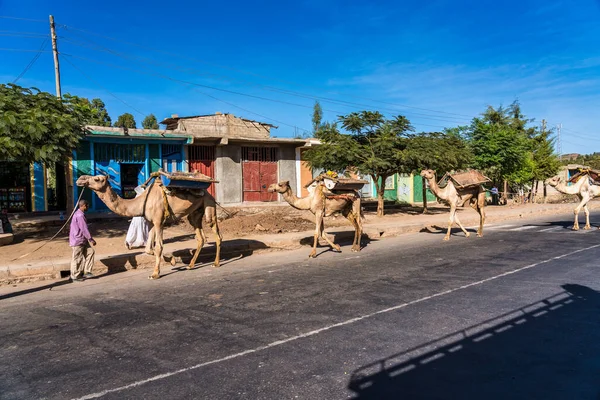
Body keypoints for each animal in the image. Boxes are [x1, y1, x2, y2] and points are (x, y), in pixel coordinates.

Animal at [76, 173, 221, 280]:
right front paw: (172, 260)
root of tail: (209, 193)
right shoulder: (151, 222)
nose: (80, 179)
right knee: (200, 236)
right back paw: (190, 265)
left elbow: (159, 247)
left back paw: (216, 263)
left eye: (97, 178)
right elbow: (148, 248)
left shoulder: (159, 221)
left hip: (209, 204)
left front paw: (155, 274)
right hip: (195, 212)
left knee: (216, 232)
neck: (142, 202)